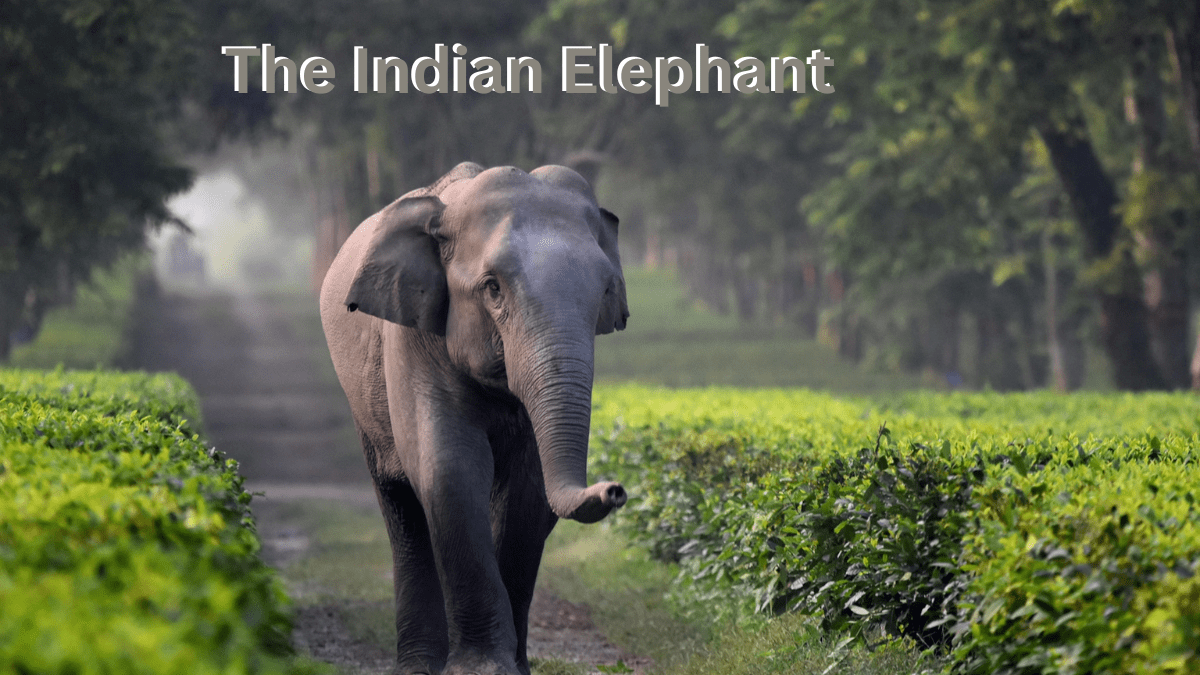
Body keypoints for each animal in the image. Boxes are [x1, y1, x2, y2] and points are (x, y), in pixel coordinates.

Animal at [319, 162, 630, 675]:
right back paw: (419, 666)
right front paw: (482, 669)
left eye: (604, 290)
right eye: (492, 288)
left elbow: (528, 489)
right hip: (364, 405)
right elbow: (451, 468)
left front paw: (513, 668)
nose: (614, 489)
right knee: (400, 504)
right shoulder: (413, 338)